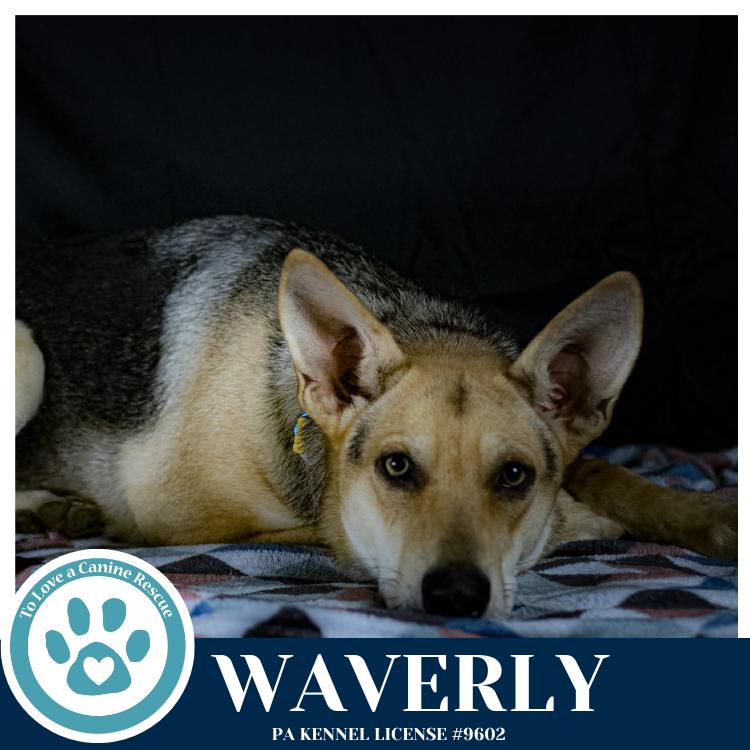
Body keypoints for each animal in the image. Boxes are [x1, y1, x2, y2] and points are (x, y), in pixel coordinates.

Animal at [16, 215, 737, 619]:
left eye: (513, 476)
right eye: (396, 468)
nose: (457, 598)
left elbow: (608, 475)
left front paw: (704, 512)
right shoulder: (185, 519)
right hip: (28, 352)